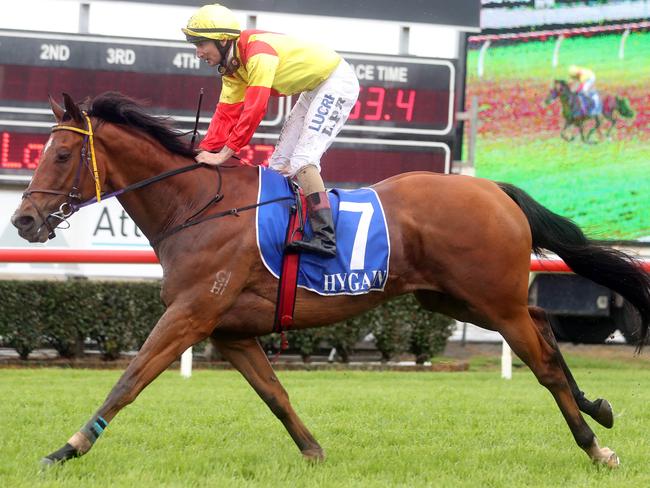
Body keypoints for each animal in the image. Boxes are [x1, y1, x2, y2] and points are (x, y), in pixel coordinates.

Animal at [10, 91, 648, 468]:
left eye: (61, 155)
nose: (23, 220)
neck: (197, 205)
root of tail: (493, 188)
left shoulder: (191, 313)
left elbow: (129, 380)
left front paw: (66, 449)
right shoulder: (229, 330)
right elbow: (275, 393)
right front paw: (314, 452)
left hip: (491, 300)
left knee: (543, 362)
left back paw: (596, 447)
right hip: (456, 300)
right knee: (543, 328)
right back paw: (598, 408)